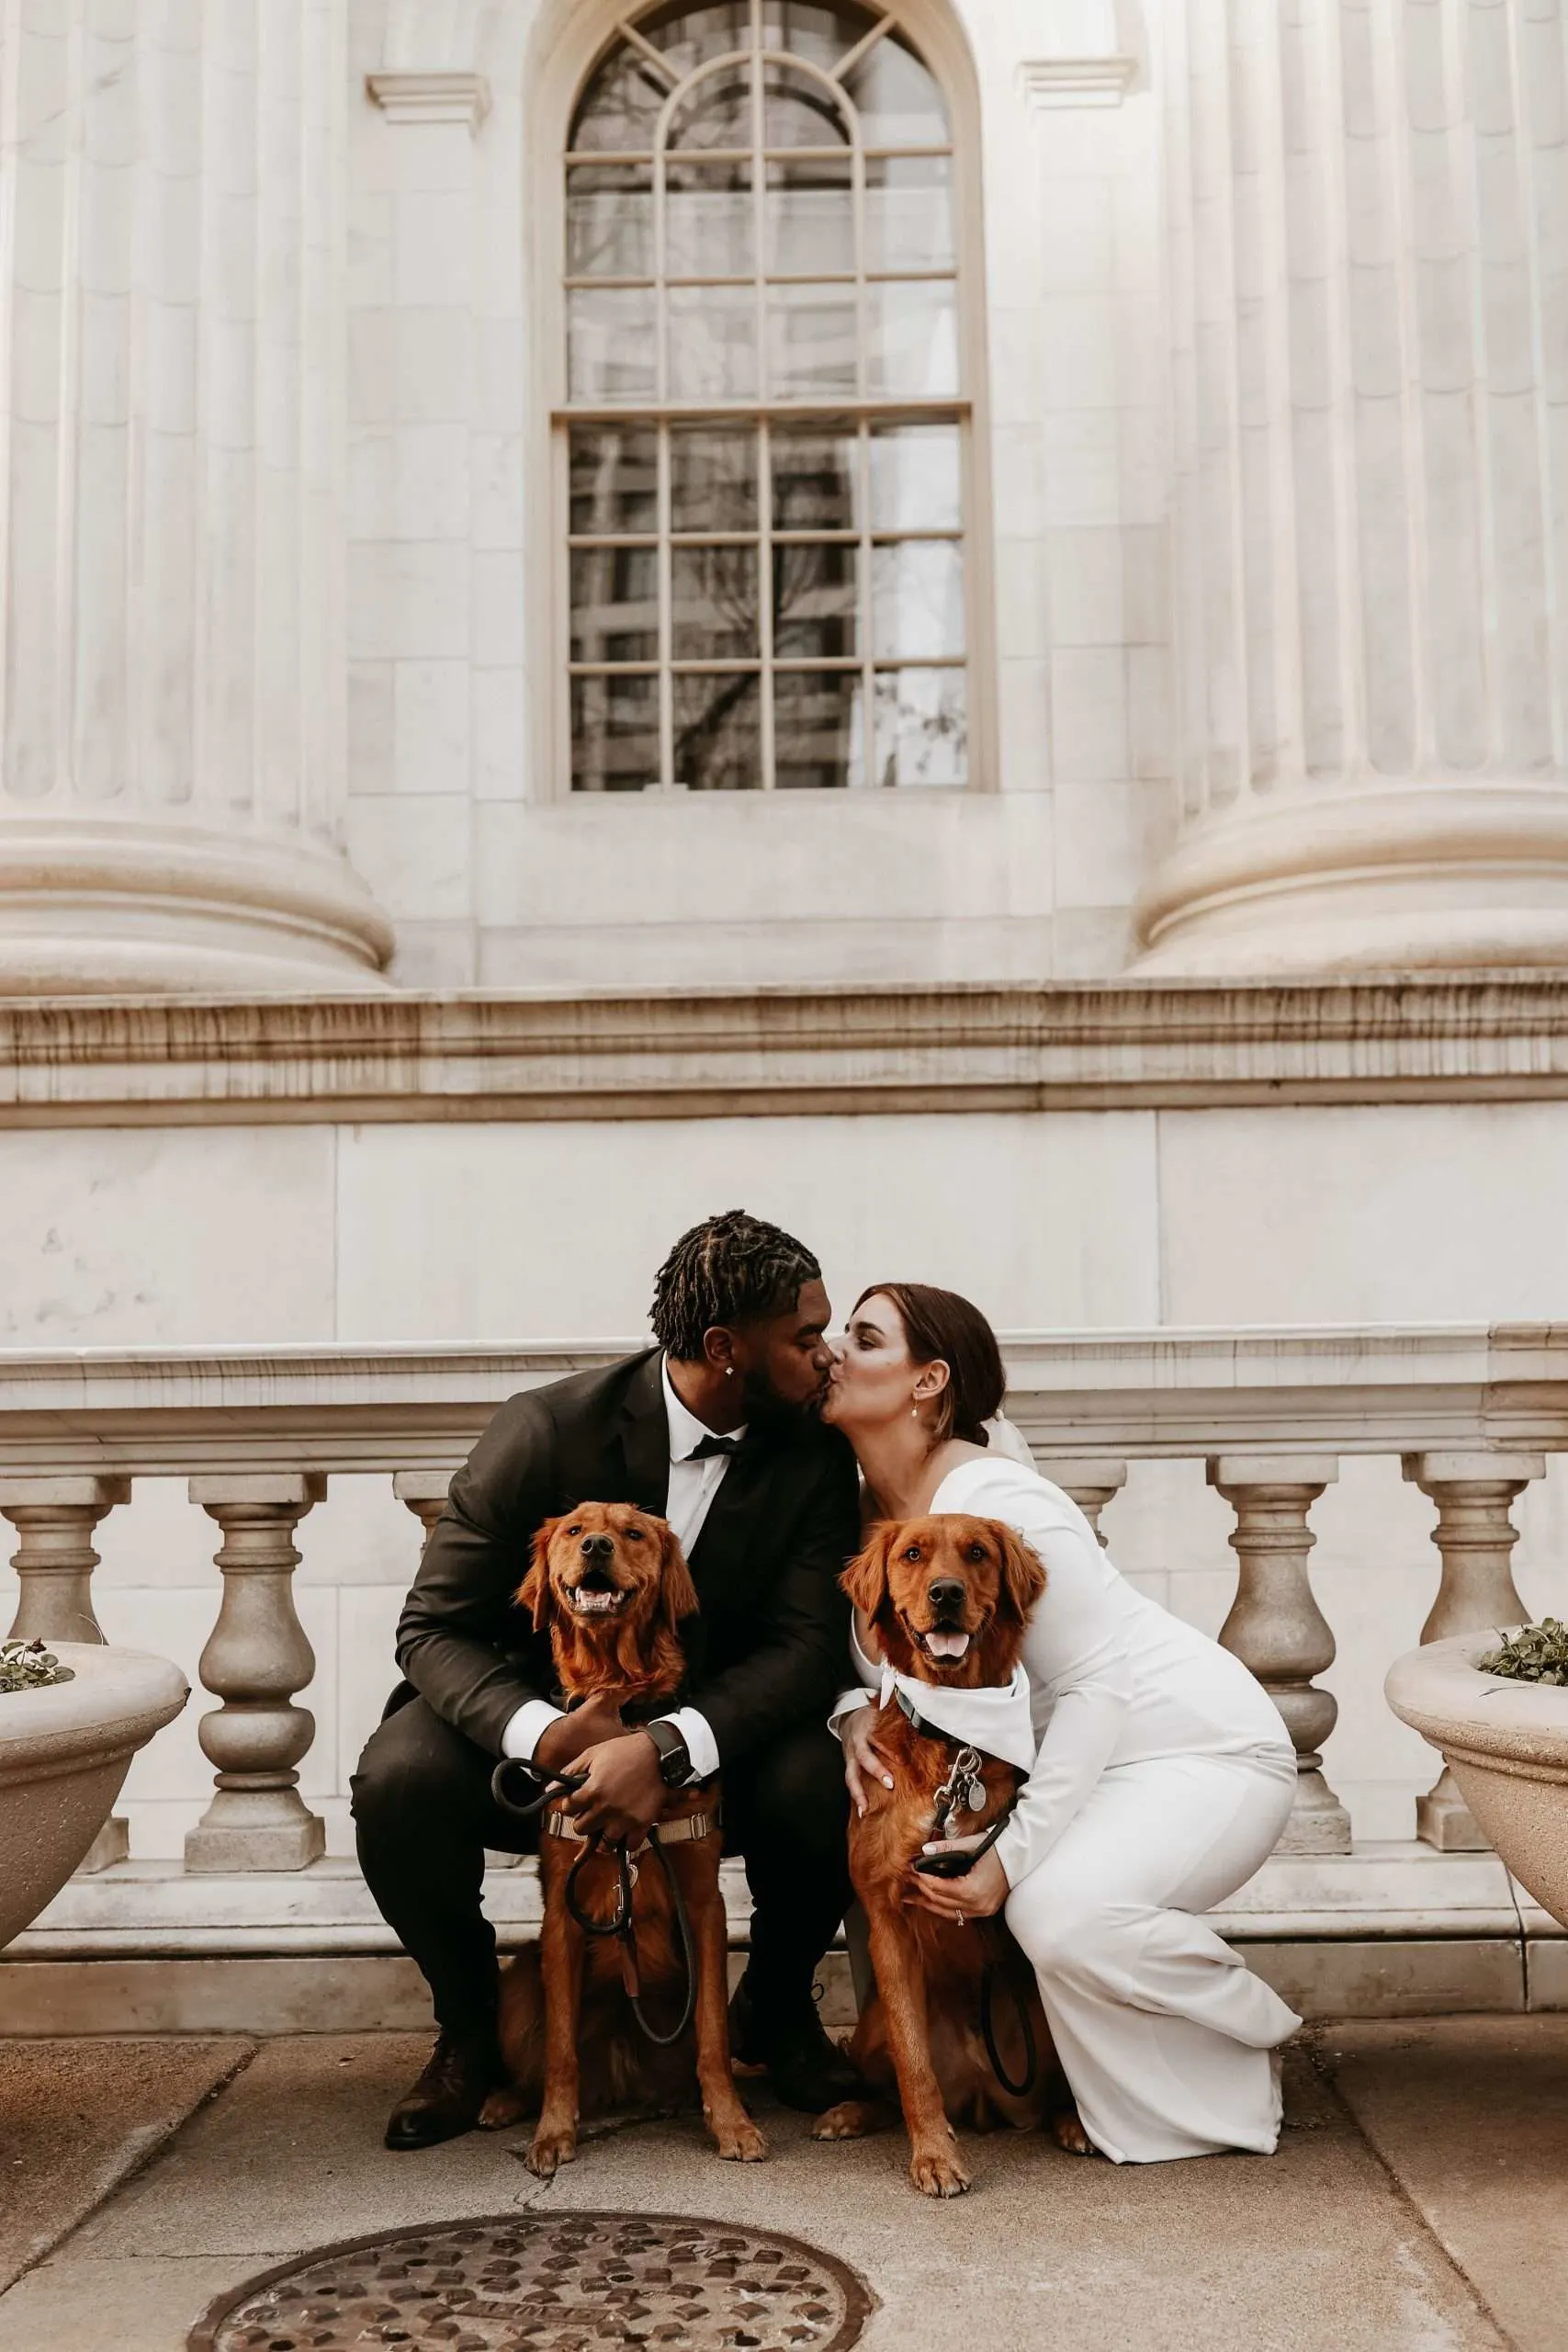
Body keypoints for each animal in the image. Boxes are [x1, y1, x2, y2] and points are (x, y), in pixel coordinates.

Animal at [481, 1496, 771, 2173]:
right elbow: (560, 2049)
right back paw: (506, 2102)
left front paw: (732, 2125)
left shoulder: (703, 1902)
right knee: (538, 2058)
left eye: (633, 1533)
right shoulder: (560, 1915)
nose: (596, 1547)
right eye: (573, 1530)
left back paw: (677, 2099)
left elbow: (712, 2038)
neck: (618, 1694)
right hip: (518, 1978)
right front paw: (552, 2133)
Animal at [808, 1514, 1081, 2191]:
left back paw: (1073, 2120)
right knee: (885, 2082)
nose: (946, 1593)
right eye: (911, 1555)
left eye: (977, 1553)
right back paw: (849, 2111)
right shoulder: (887, 1921)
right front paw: (933, 2154)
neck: (954, 1743)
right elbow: (914, 2068)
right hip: (871, 2027)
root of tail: (985, 2094)